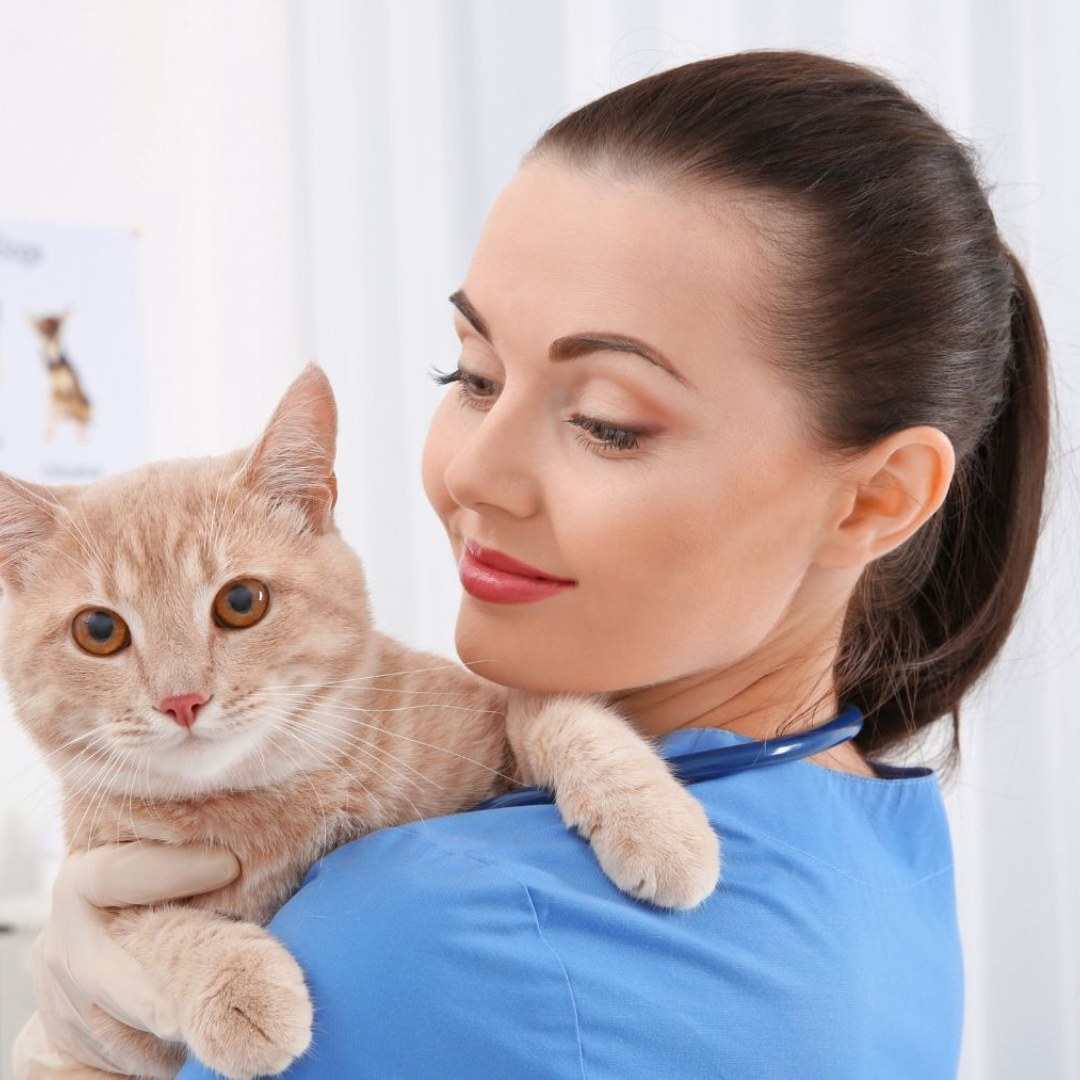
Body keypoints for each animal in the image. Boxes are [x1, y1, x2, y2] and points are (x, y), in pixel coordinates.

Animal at [2, 365, 725, 1080]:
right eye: (99, 631)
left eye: (241, 602)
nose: (182, 700)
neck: (280, 798)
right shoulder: (107, 943)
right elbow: (154, 930)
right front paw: (239, 986)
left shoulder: (490, 709)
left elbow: (559, 714)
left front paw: (658, 827)